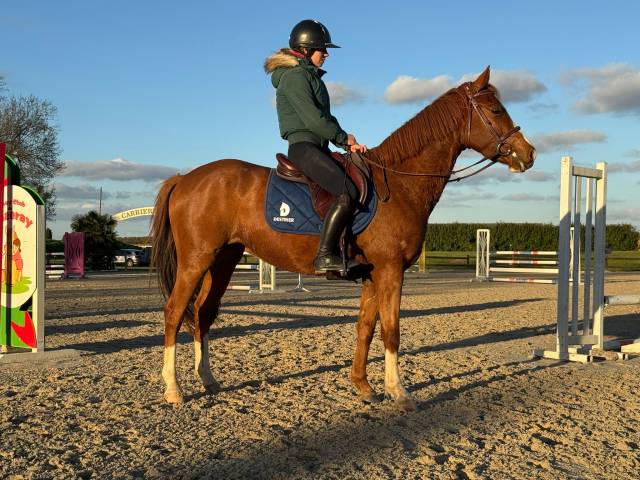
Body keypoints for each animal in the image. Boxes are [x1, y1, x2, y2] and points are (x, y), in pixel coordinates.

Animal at [151, 67, 536, 411]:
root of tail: (185, 178)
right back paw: (173, 390)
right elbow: (391, 330)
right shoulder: (391, 271)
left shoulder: (371, 275)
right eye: (496, 110)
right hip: (196, 260)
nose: (529, 153)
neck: (399, 183)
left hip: (223, 261)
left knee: (203, 313)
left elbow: (365, 327)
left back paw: (208, 379)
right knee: (174, 312)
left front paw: (363, 387)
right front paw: (399, 393)